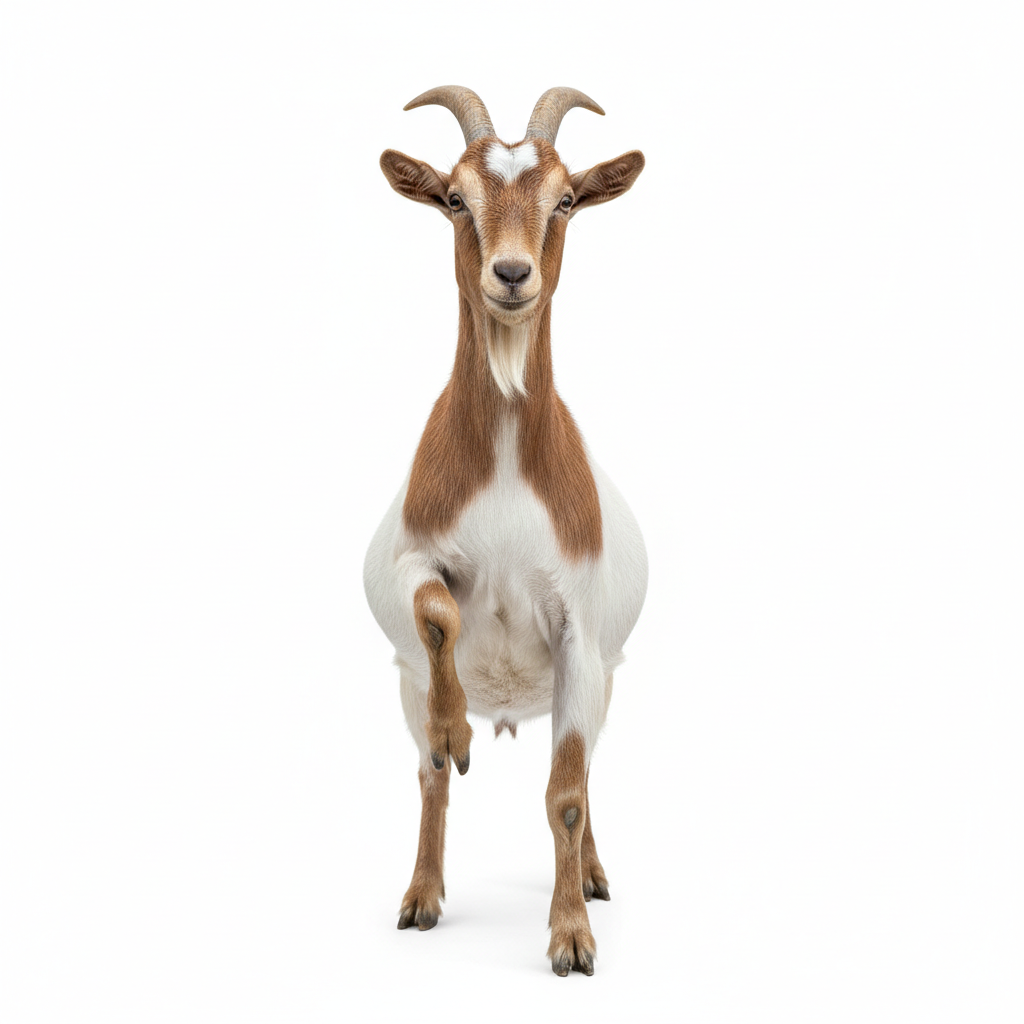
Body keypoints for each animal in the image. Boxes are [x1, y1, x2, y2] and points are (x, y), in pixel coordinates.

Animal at [363, 86, 647, 976]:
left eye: (567, 200)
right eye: (455, 198)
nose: (513, 274)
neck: (507, 467)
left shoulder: (580, 639)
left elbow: (565, 797)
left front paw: (571, 937)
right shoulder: (407, 559)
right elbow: (437, 612)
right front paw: (457, 727)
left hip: (596, 684)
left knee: (584, 776)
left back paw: (591, 875)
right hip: (403, 685)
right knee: (428, 777)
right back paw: (422, 896)